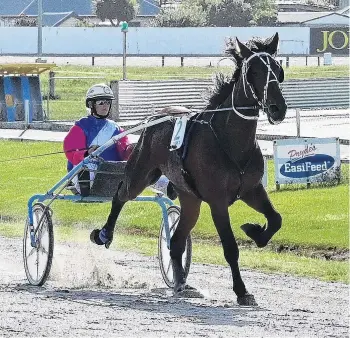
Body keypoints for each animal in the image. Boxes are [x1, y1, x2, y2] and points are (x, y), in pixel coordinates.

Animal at [90, 32, 288, 306]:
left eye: (278, 69)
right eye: (255, 71)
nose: (278, 108)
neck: (230, 140)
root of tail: (156, 117)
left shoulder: (252, 190)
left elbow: (276, 219)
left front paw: (255, 231)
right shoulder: (217, 201)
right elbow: (230, 247)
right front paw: (241, 291)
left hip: (190, 198)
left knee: (175, 242)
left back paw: (181, 283)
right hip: (141, 172)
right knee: (120, 194)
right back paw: (105, 234)